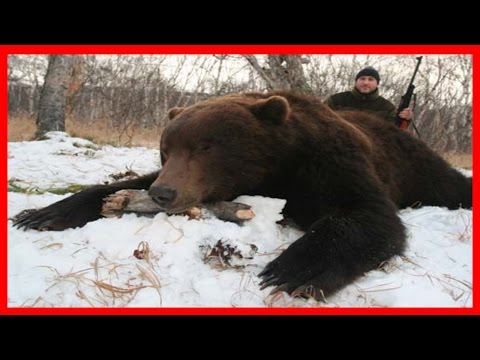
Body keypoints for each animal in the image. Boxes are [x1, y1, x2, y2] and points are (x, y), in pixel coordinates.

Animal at [12, 90, 472, 300]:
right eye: (167, 148)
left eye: (205, 147)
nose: (164, 194)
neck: (276, 169)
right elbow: (120, 184)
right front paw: (39, 214)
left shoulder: (330, 165)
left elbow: (366, 214)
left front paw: (292, 269)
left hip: (416, 165)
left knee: (446, 183)